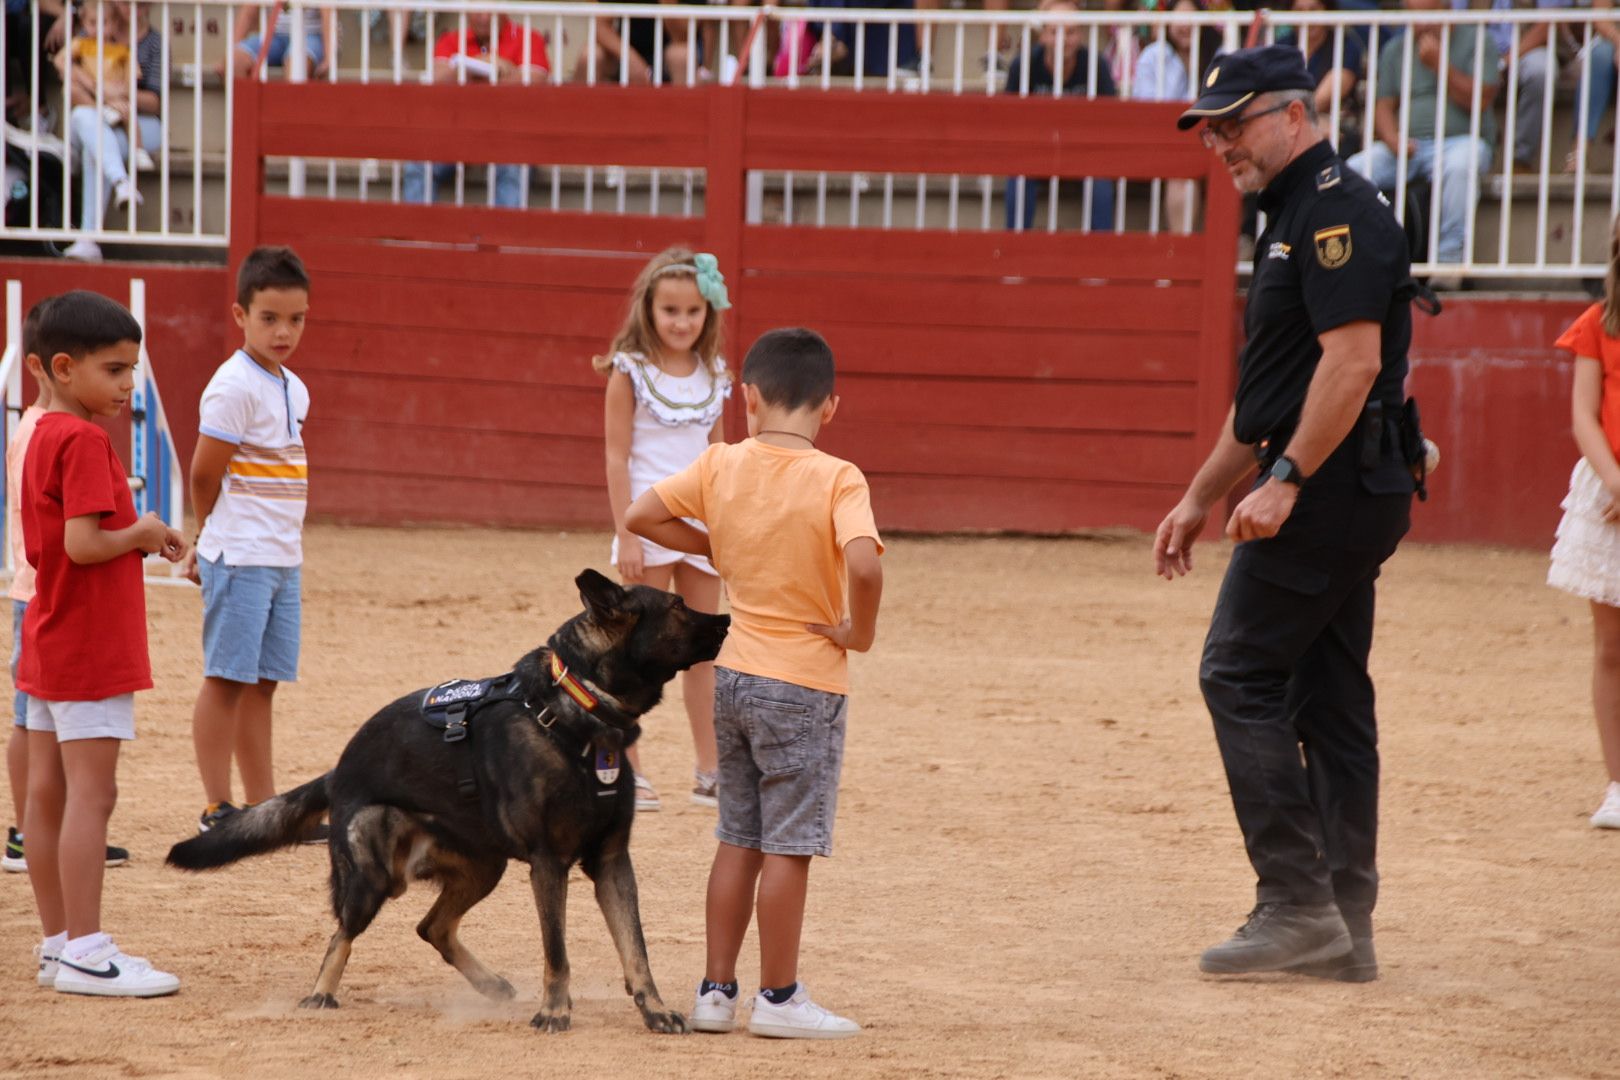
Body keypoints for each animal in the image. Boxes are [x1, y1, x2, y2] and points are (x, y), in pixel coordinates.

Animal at [162, 569, 729, 1036]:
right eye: (678, 604)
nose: (726, 618)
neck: (579, 703)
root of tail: (341, 768)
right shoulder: (550, 864)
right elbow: (558, 950)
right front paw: (554, 1011)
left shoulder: (612, 862)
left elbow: (636, 949)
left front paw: (655, 1010)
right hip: (372, 879)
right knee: (343, 932)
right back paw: (320, 993)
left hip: (485, 867)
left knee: (431, 926)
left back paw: (490, 984)